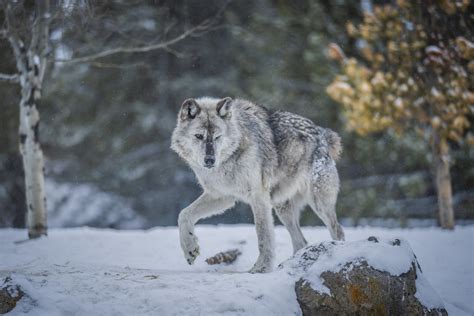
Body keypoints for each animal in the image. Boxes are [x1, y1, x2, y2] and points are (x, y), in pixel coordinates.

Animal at [170, 97, 344, 272]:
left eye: (218, 137)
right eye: (199, 136)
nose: (210, 160)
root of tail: (323, 133)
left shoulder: (258, 197)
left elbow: (263, 235)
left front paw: (262, 268)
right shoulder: (222, 196)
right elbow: (183, 214)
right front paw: (190, 249)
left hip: (318, 203)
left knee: (338, 231)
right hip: (282, 209)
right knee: (301, 241)